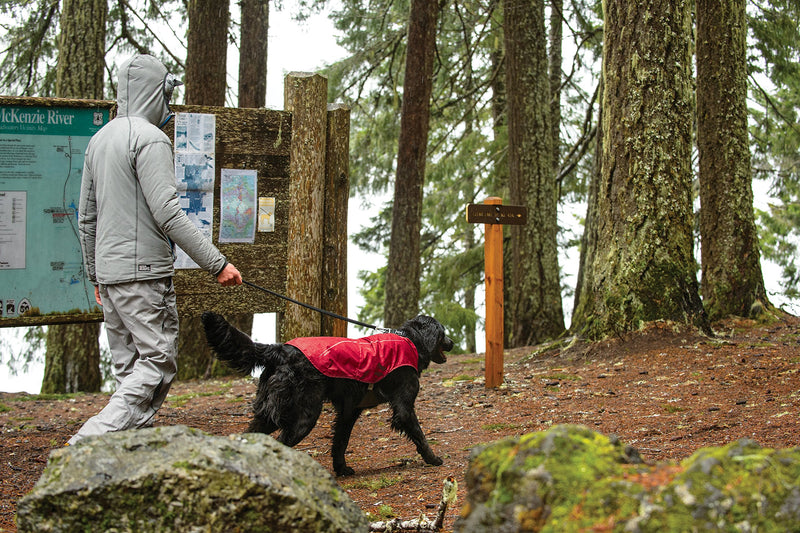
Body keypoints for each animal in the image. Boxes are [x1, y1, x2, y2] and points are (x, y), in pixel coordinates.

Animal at [200, 310, 454, 476]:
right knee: (281, 443)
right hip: (304, 415)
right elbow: (420, 435)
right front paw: (433, 459)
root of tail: (280, 350)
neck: (410, 340)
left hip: (267, 414)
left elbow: (340, 442)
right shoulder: (403, 406)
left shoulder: (349, 410)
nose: (452, 342)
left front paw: (341, 469)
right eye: (443, 333)